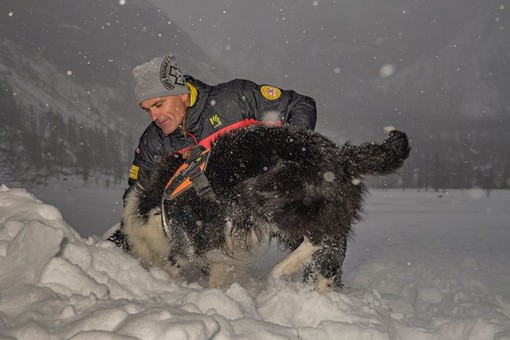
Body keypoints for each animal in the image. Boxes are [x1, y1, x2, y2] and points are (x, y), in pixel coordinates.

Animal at [116, 125, 410, 292]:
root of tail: (339, 154)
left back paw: (279, 275)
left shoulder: (187, 236)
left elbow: (177, 263)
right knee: (329, 255)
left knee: (319, 237)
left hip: (266, 193)